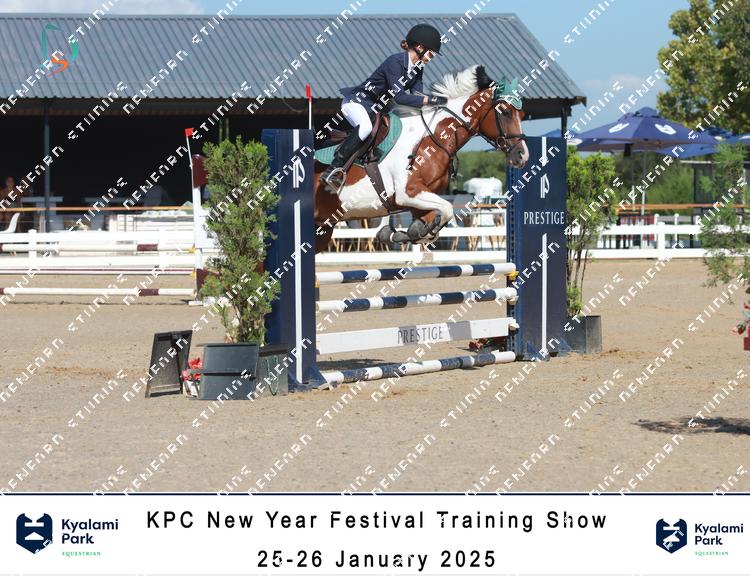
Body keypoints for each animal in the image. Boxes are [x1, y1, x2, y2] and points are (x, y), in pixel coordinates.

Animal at [313, 64, 528, 252]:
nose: (522, 155)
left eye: (522, 114)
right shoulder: (408, 192)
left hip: (322, 229)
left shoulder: (419, 201)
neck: (432, 139)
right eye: (505, 112)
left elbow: (430, 226)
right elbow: (447, 208)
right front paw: (398, 234)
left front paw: (397, 233)